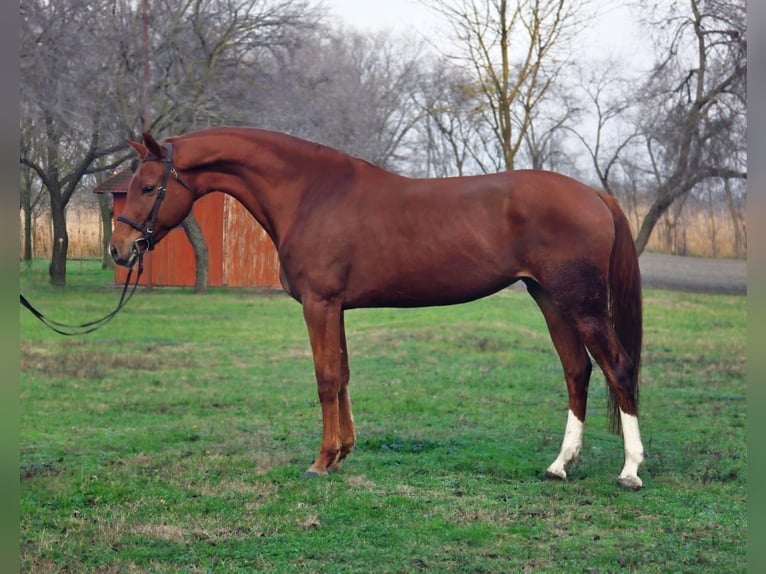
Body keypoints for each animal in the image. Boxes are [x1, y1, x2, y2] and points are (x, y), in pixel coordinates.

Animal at [109, 127, 645, 490]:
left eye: (149, 186)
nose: (119, 249)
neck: (310, 195)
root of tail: (595, 194)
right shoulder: (337, 307)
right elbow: (343, 374)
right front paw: (343, 453)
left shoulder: (320, 304)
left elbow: (326, 378)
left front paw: (321, 461)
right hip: (550, 299)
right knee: (577, 371)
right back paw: (560, 465)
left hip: (581, 303)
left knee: (617, 367)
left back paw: (630, 470)